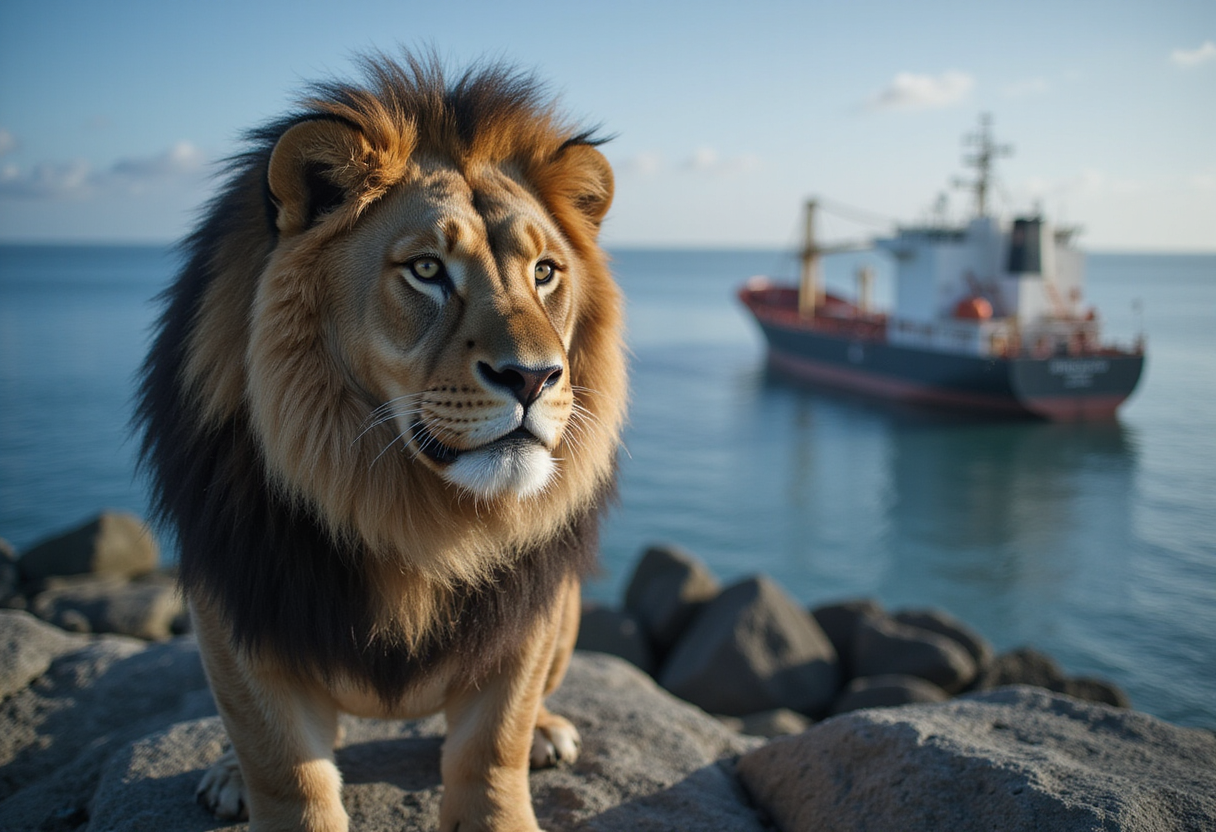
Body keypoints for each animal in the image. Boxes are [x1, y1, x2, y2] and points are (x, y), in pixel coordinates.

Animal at [135, 54, 626, 832]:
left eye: (545, 272)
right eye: (426, 270)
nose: (534, 377)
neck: (406, 512)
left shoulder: (526, 621)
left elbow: (495, 747)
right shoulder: (236, 615)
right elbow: (287, 775)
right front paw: (264, 782)